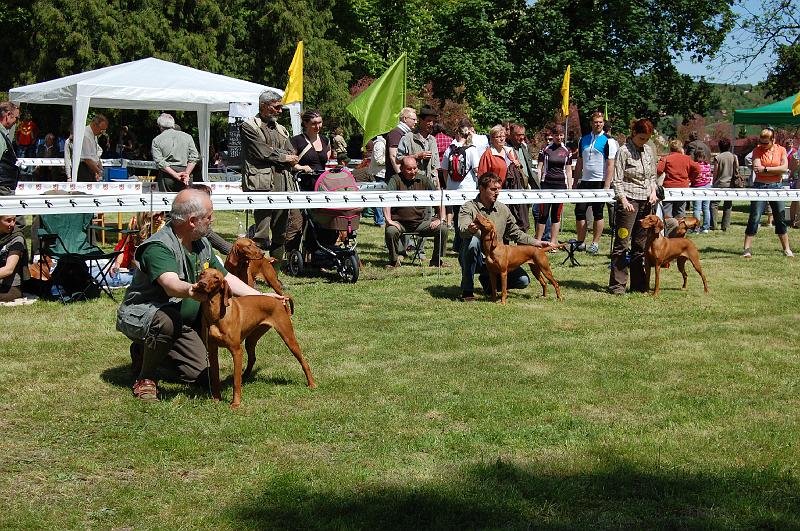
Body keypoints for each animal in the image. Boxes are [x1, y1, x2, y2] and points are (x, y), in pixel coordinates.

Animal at [194, 268, 316, 410]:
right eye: (202, 273)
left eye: (216, 278)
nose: (201, 283)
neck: (215, 315)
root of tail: (278, 300)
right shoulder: (212, 350)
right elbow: (214, 377)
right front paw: (216, 399)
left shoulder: (237, 351)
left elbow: (236, 382)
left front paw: (236, 403)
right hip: (251, 339)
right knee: (252, 358)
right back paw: (245, 376)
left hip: (288, 338)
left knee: (303, 361)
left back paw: (311, 384)